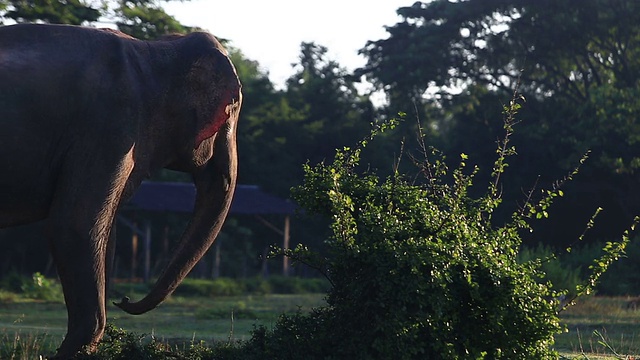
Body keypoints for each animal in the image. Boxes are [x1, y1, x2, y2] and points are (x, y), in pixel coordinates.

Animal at [0, 23, 242, 358]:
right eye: (231, 109)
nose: (124, 299)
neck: (151, 50)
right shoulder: (109, 127)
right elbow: (74, 224)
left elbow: (104, 232)